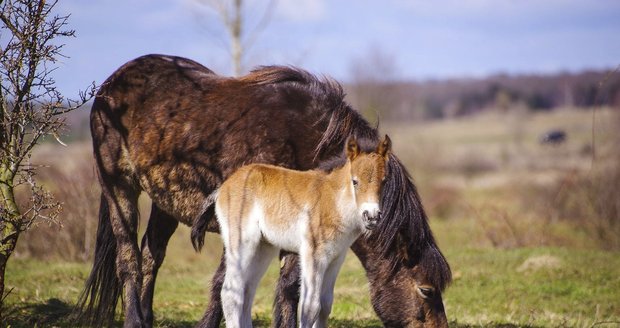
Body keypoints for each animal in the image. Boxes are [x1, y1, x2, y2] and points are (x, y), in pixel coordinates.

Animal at [218, 136, 390, 328]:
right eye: (355, 181)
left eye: (384, 181)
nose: (372, 216)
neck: (333, 202)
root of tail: (225, 186)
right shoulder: (313, 255)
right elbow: (311, 306)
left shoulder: (336, 258)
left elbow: (325, 305)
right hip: (241, 245)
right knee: (230, 293)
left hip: (262, 249)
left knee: (247, 291)